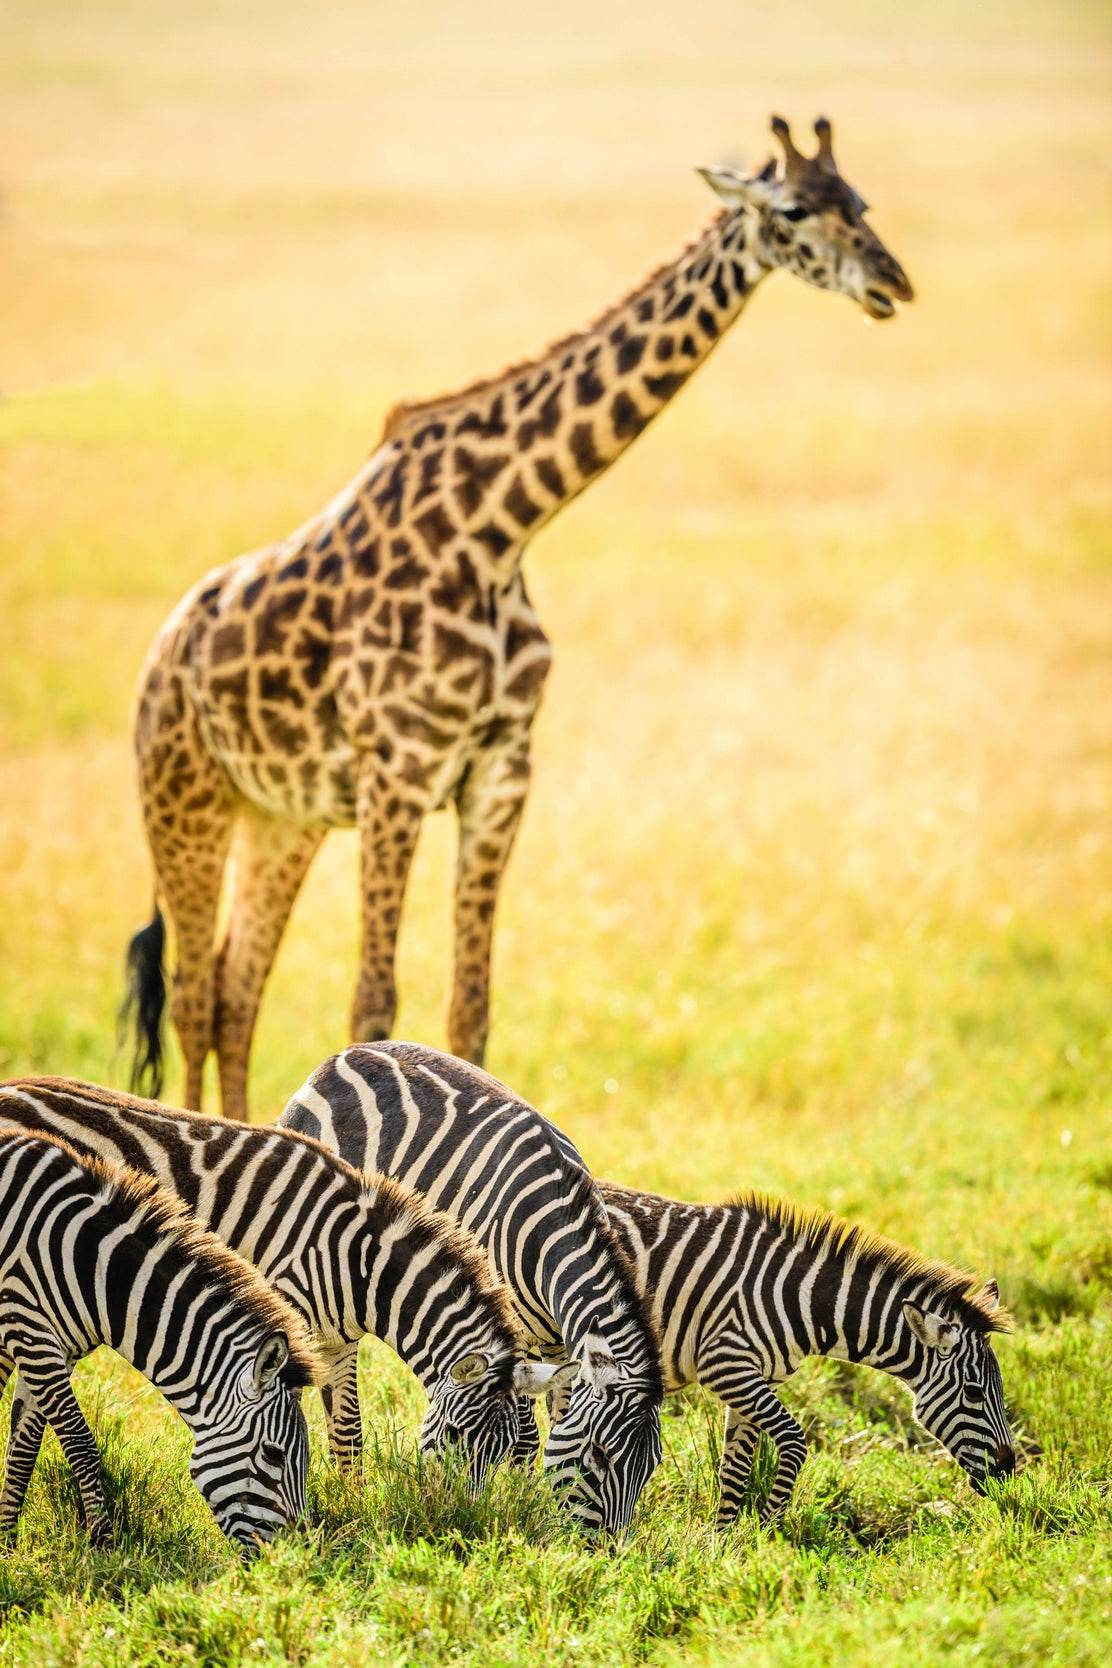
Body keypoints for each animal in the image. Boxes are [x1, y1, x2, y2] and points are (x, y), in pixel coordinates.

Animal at [0, 1078, 572, 1489]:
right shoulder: (283, 1328)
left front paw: (352, 1509)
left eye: (501, 1455)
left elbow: (348, 1433)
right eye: (453, 1437)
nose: (457, 1514)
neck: (355, 1259)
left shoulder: (335, 1343)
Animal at [0, 1129, 318, 1551]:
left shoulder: (51, 1347)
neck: (94, 1268)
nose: (295, 1556)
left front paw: (7, 1542)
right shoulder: (28, 1328)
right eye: (274, 1454)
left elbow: (23, 1445)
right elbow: (80, 1441)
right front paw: (104, 1543)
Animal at [121, 116, 914, 1120]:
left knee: (233, 990)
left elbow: (471, 1008)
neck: (498, 527)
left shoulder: (500, 771)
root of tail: (159, 657)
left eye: (863, 202)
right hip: (184, 801)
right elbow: (373, 1002)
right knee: (191, 997)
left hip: (280, 820)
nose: (893, 283)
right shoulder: (399, 772)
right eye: (795, 211)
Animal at [280, 1042, 664, 1536]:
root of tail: (346, 1054)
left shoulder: (560, 1345)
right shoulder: (514, 1334)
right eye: (600, 1455)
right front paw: (522, 1501)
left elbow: (558, 1419)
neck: (550, 1227)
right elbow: (526, 1437)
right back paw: (351, 1494)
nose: (606, 1548)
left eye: (650, 1468)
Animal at [592, 1181, 1016, 1527]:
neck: (800, 1299)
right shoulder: (725, 1363)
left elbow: (735, 1468)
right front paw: (765, 1529)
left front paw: (724, 1545)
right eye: (974, 1393)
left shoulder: (753, 1379)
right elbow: (794, 1443)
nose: (1009, 1469)